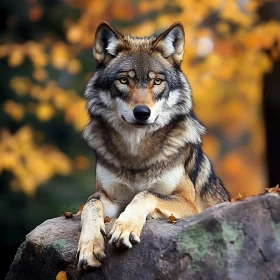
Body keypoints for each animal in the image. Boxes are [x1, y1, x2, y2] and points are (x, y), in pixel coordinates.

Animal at [76, 21, 230, 270]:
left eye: (157, 81)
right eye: (124, 80)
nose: (142, 113)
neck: (137, 153)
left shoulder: (188, 204)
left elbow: (145, 194)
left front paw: (125, 227)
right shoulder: (108, 197)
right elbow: (90, 207)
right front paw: (90, 247)